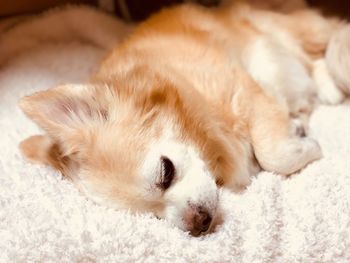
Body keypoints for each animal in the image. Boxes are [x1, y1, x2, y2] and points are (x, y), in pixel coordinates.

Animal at [19, 3, 350, 236]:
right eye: (152, 216)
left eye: (166, 172)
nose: (198, 223)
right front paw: (299, 129)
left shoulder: (243, 90)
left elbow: (274, 156)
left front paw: (310, 146)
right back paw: (326, 88)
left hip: (288, 31)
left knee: (326, 39)